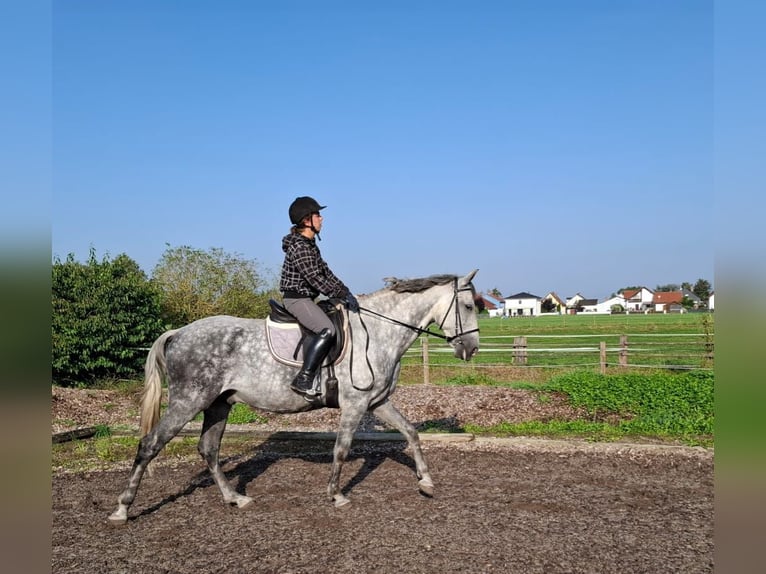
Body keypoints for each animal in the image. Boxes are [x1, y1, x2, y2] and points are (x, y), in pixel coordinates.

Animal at [108, 272, 480, 524]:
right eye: (467, 305)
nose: (471, 349)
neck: (378, 332)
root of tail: (178, 333)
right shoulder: (356, 404)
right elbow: (342, 449)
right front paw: (336, 495)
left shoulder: (376, 402)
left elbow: (411, 433)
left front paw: (426, 482)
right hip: (189, 401)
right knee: (149, 445)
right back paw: (123, 508)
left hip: (218, 404)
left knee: (208, 450)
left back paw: (235, 498)